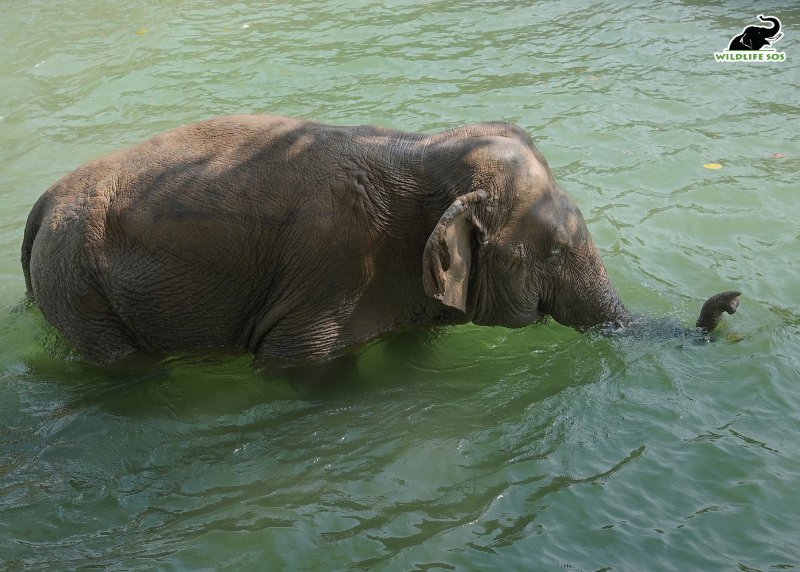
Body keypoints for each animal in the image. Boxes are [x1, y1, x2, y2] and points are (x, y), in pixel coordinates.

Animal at [21, 115, 740, 366]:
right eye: (556, 253)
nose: (731, 301)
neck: (428, 152)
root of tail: (43, 202)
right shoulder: (332, 274)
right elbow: (294, 360)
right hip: (79, 286)